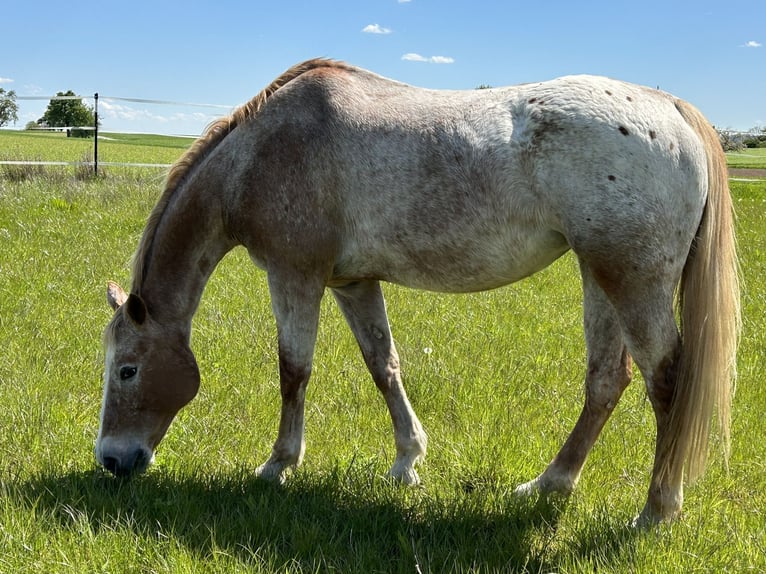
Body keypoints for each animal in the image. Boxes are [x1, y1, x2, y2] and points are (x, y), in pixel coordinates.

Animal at [94, 57, 736, 528]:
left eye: (127, 369)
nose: (111, 460)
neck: (261, 152)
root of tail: (670, 108)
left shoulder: (294, 275)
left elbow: (294, 371)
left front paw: (278, 465)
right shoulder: (352, 282)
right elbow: (384, 365)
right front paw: (407, 462)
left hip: (633, 282)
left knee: (666, 382)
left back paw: (655, 512)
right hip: (599, 276)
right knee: (606, 382)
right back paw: (548, 485)